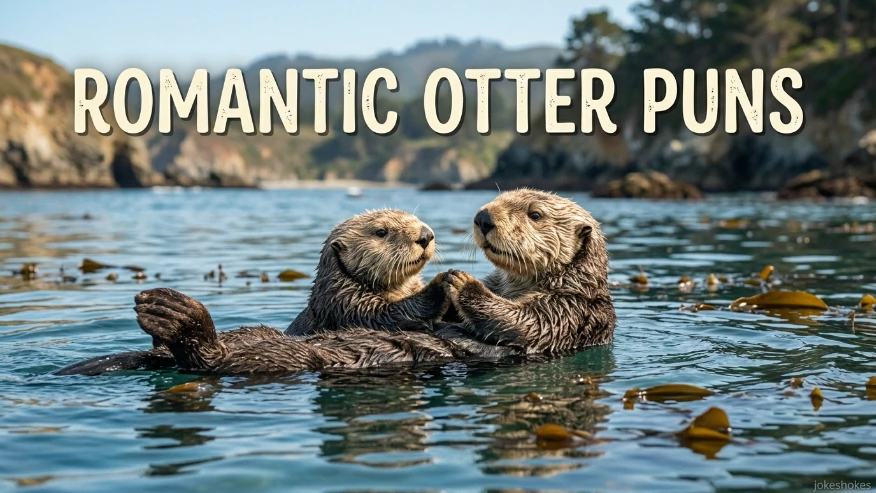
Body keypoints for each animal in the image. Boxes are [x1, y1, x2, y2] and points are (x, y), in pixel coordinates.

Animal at [55, 209, 451, 376]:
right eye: (382, 232)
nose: (426, 235)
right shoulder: (344, 302)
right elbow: (385, 315)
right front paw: (441, 285)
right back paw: (170, 315)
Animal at [437, 188, 616, 355]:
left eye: (535, 215)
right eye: (497, 198)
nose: (483, 218)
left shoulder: (567, 309)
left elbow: (528, 323)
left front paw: (463, 282)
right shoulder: (495, 283)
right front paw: (441, 285)